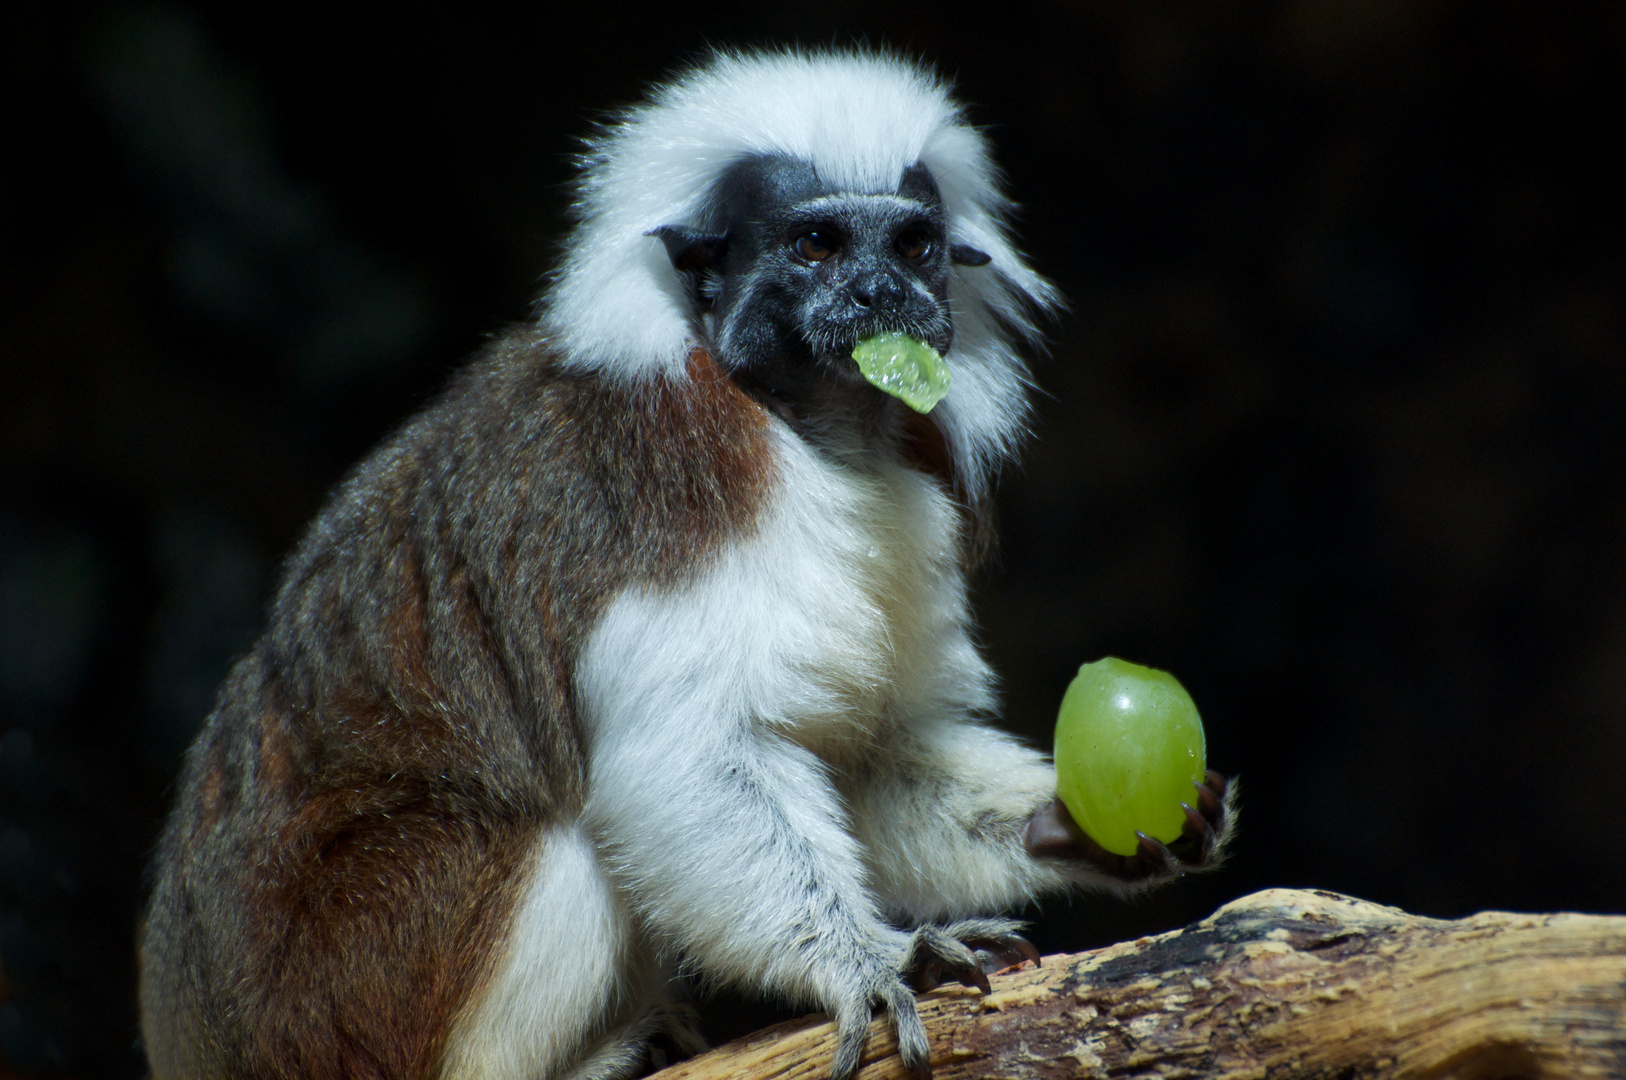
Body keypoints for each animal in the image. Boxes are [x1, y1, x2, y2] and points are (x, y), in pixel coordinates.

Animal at [139, 48, 1229, 1080]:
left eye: (914, 246)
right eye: (818, 246)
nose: (886, 295)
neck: (817, 425)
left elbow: (861, 751)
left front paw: (1077, 827)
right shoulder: (688, 489)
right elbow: (687, 752)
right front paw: (871, 961)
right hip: (356, 987)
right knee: (563, 825)